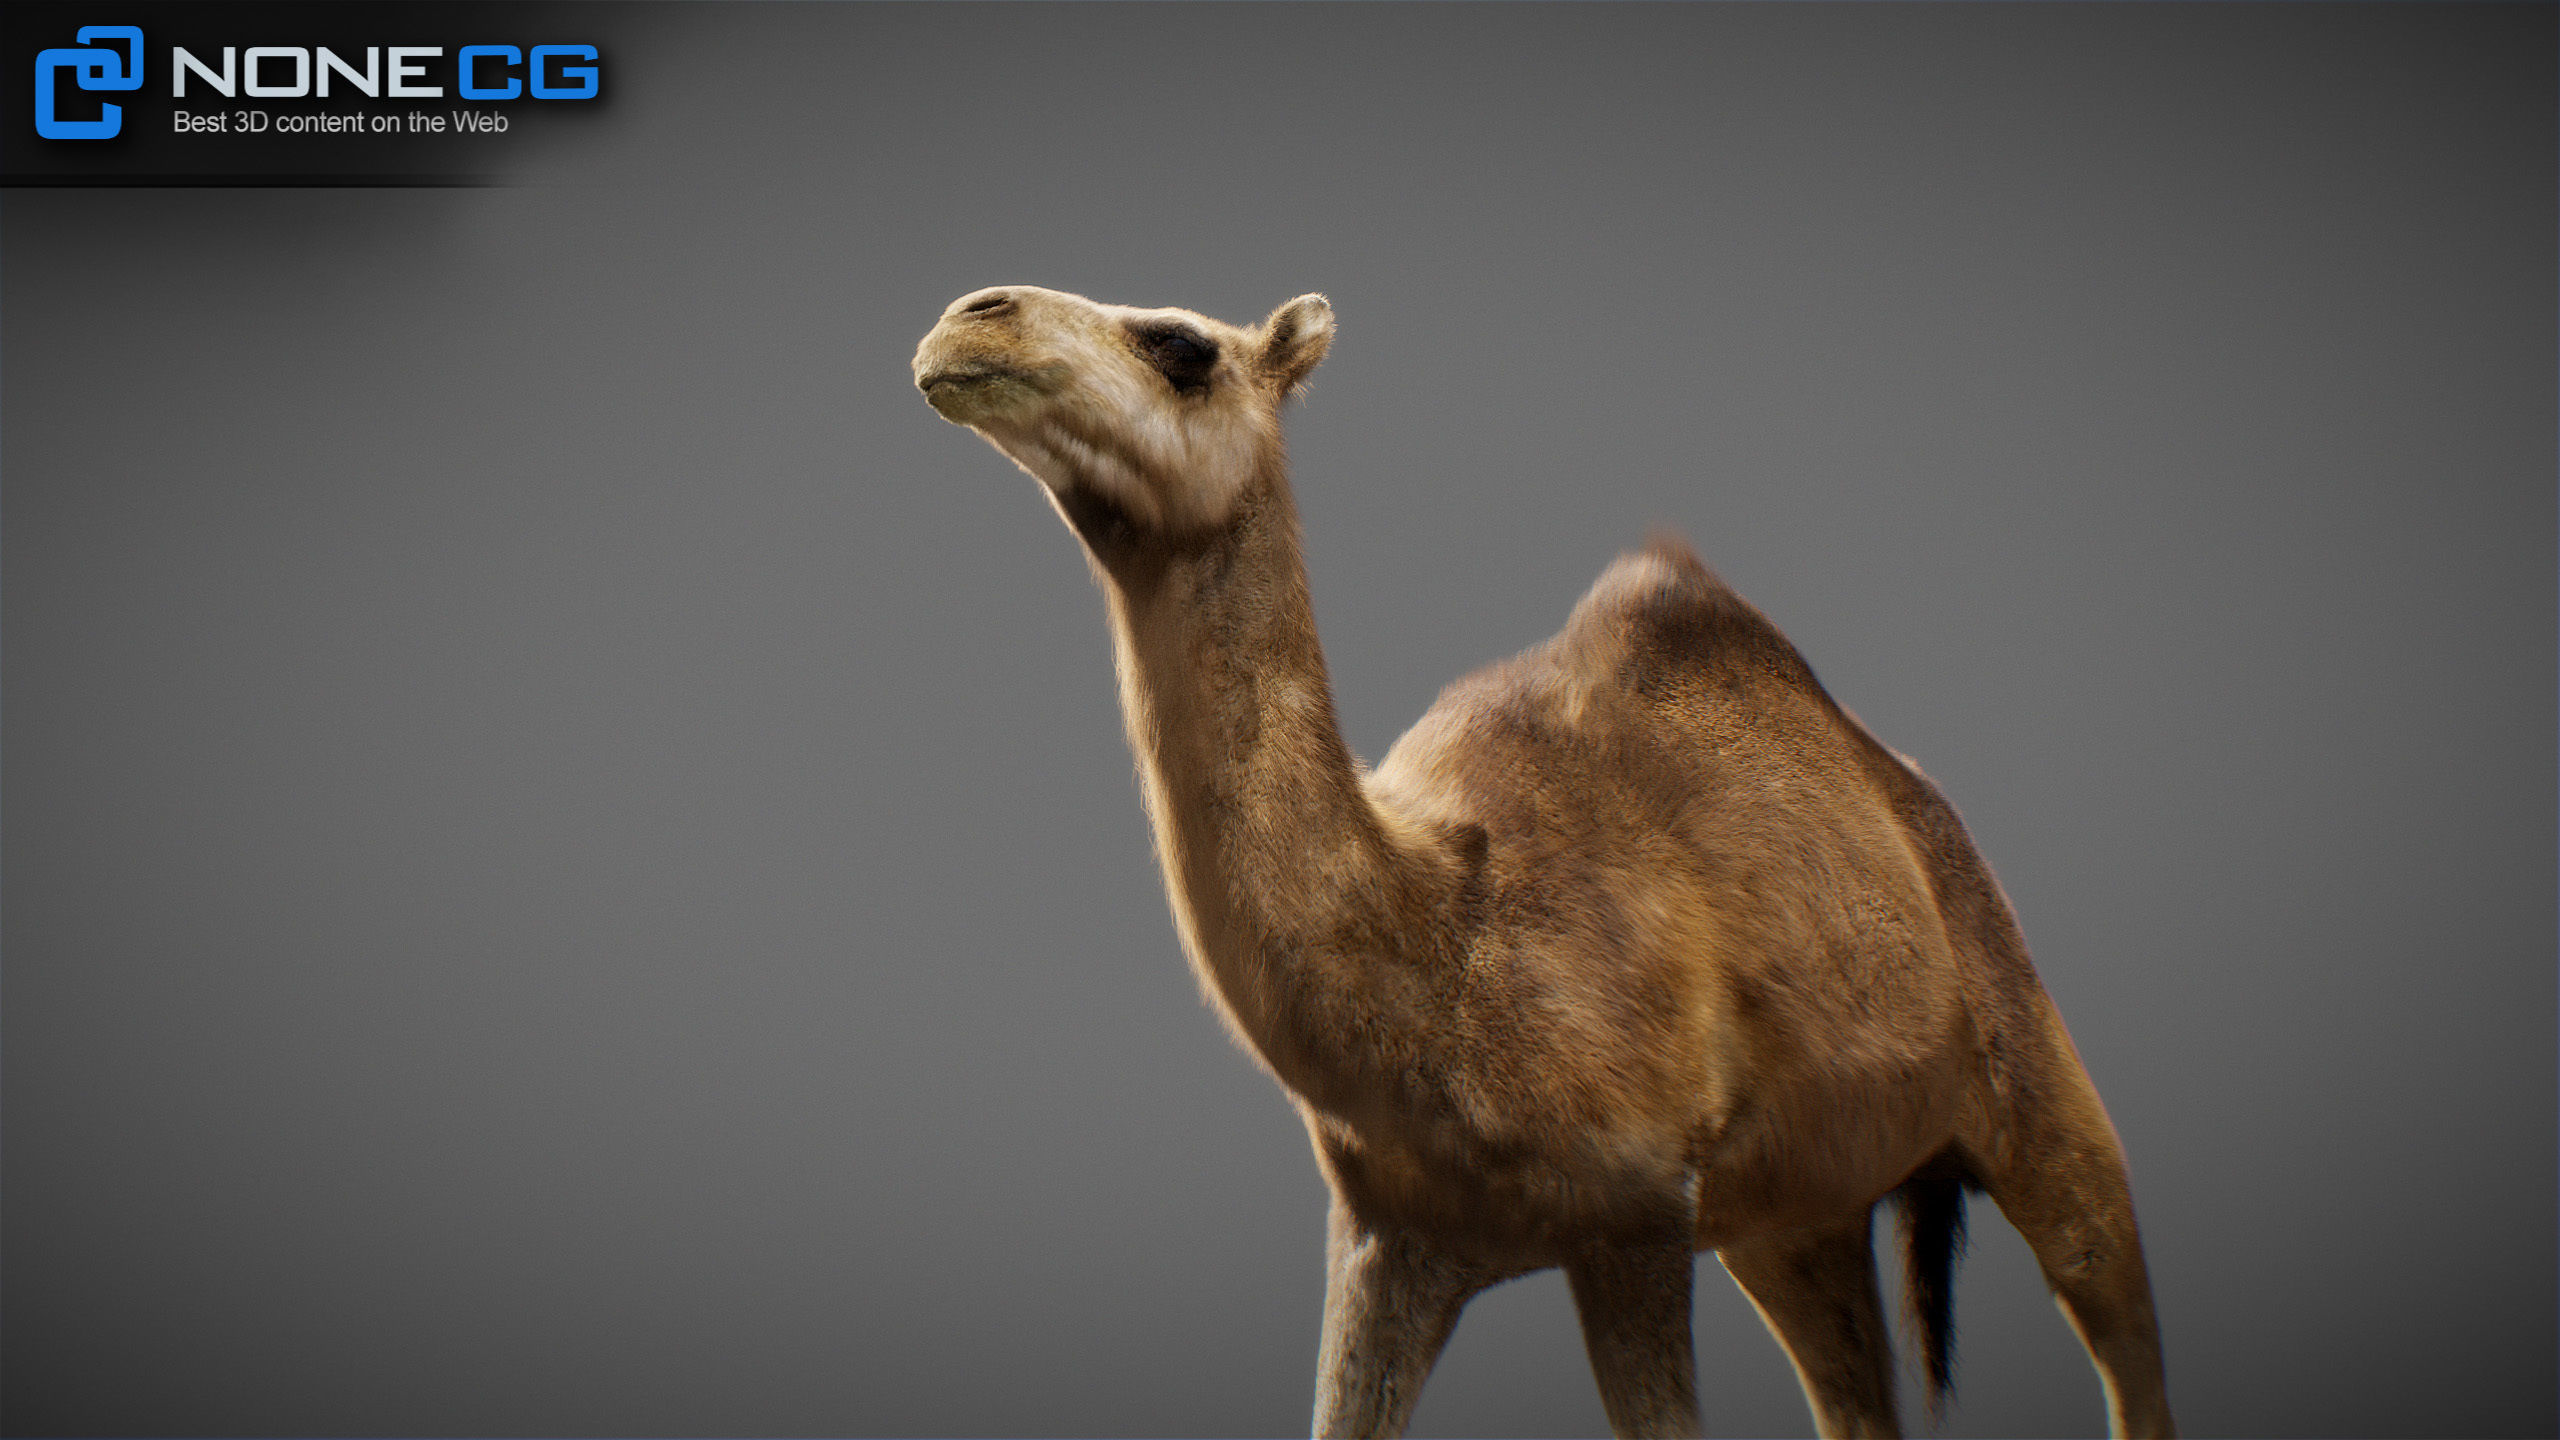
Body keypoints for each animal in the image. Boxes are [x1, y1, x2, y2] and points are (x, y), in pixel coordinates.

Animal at [910, 286, 2174, 1440]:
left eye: (1182, 347)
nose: (967, 322)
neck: (1445, 943)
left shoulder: (1635, 1214)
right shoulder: (1391, 1241)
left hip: (2028, 1068)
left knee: (2114, 1304)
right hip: (1789, 1215)